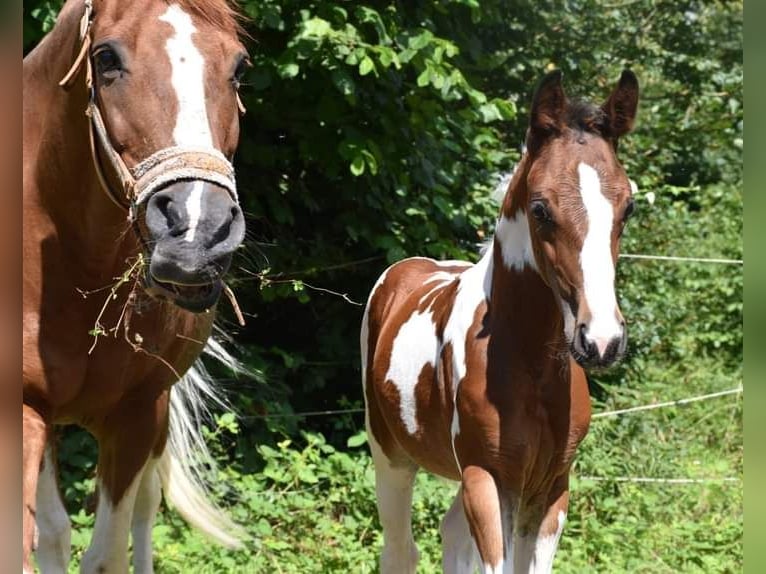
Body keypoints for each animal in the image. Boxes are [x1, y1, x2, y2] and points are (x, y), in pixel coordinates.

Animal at [24, 0, 250, 572]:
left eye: (239, 67)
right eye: (106, 57)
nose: (196, 230)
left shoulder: (135, 415)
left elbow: (107, 553)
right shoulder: (25, 409)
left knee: (147, 508)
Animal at [364, 72, 640, 574]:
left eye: (627, 207)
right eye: (540, 209)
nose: (602, 341)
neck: (530, 362)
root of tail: (405, 271)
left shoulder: (551, 487)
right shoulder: (487, 477)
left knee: (451, 534)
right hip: (391, 456)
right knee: (400, 550)